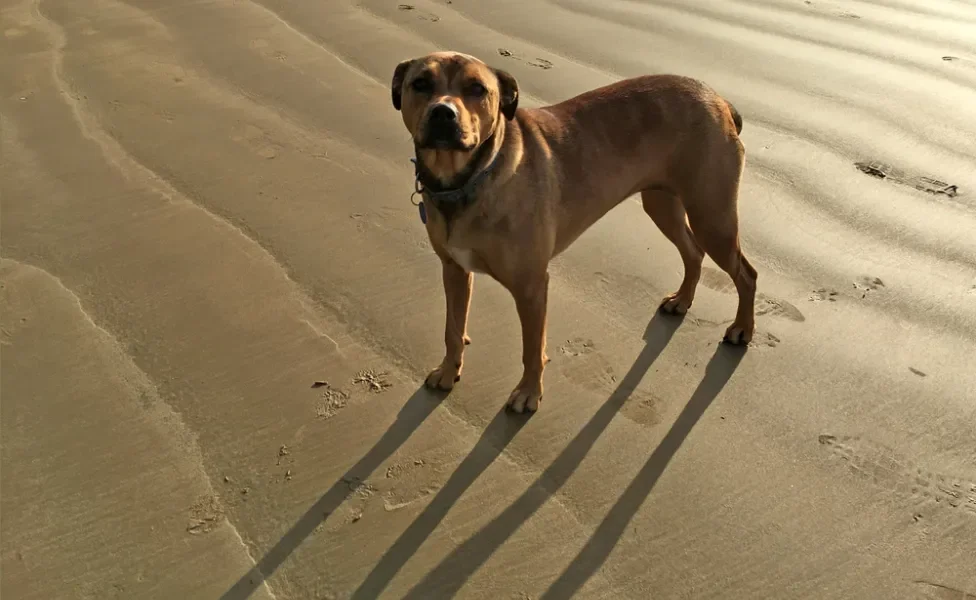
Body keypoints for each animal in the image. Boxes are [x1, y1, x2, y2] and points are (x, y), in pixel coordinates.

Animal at [392, 51, 760, 412]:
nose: (443, 113)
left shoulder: (531, 287)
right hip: (663, 203)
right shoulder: (454, 269)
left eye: (476, 89)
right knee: (693, 251)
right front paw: (448, 370)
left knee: (746, 273)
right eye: (421, 83)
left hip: (712, 215)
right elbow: (453, 328)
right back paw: (682, 300)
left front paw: (529, 392)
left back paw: (742, 328)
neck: (468, 180)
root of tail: (718, 99)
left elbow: (532, 348)